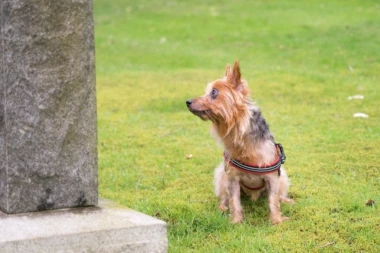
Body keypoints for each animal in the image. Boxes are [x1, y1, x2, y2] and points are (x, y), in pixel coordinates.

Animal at [186, 60, 294, 223]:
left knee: (279, 195)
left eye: (214, 92)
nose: (188, 101)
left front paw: (276, 220)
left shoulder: (272, 178)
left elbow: (273, 200)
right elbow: (234, 200)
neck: (240, 136)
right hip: (221, 175)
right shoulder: (232, 177)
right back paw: (222, 207)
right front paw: (236, 221)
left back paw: (286, 200)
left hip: (282, 177)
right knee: (224, 196)